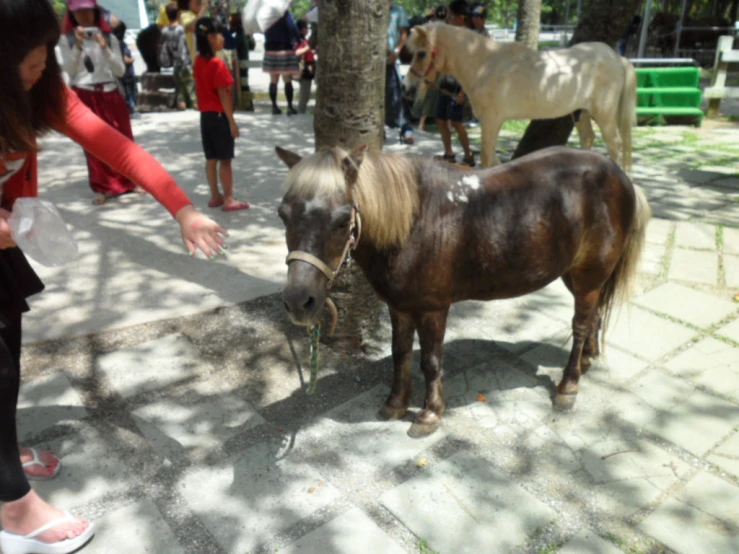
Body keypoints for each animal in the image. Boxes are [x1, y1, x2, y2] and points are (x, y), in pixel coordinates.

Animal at [274, 144, 652, 438]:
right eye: (282, 215)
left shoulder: (433, 309)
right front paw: (395, 404)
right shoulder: (399, 307)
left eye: (342, 220)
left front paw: (429, 414)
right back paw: (587, 359)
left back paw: (568, 386)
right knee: (594, 317)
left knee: (580, 325)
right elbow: (400, 354)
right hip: (577, 276)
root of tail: (622, 177)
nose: (299, 301)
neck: (414, 222)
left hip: (588, 277)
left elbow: (430, 362)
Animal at [402, 22, 640, 170]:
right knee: (588, 139)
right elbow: (493, 159)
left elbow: (486, 158)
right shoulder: (493, 123)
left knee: (615, 145)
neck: (484, 64)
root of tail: (617, 57)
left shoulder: (490, 121)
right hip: (580, 113)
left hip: (604, 115)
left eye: (421, 53)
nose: (407, 89)